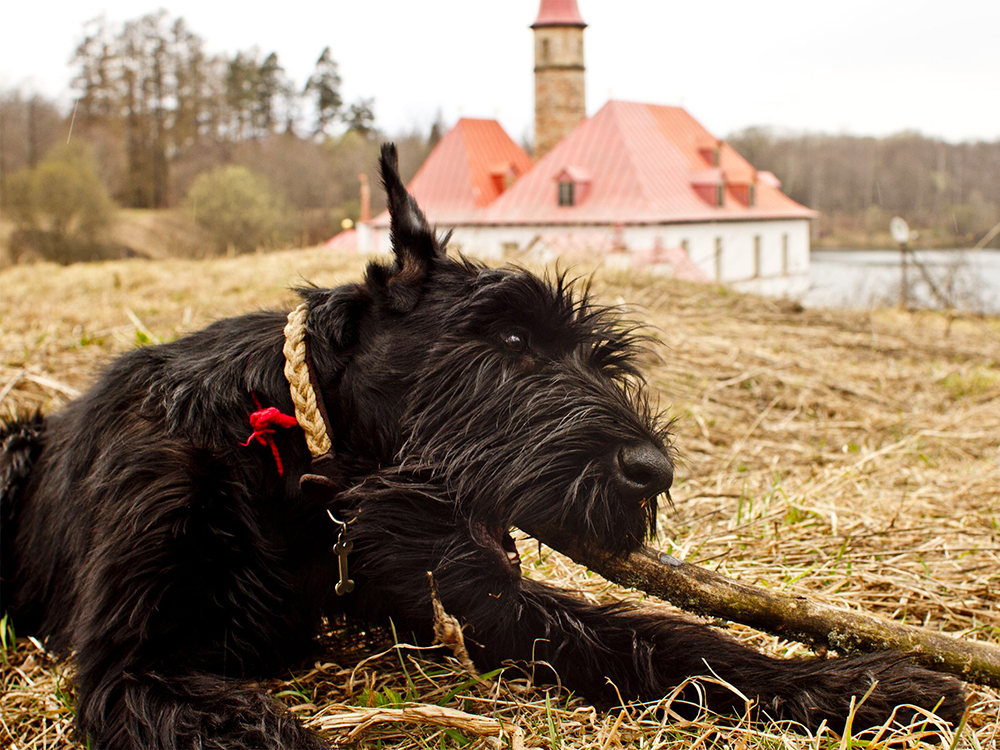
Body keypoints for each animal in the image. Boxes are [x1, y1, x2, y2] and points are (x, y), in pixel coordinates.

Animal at [0, 147, 968, 750]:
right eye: (506, 340)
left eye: (599, 361)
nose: (651, 471)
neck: (292, 458)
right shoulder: (133, 666)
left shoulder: (459, 603)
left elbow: (660, 636)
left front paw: (859, 685)